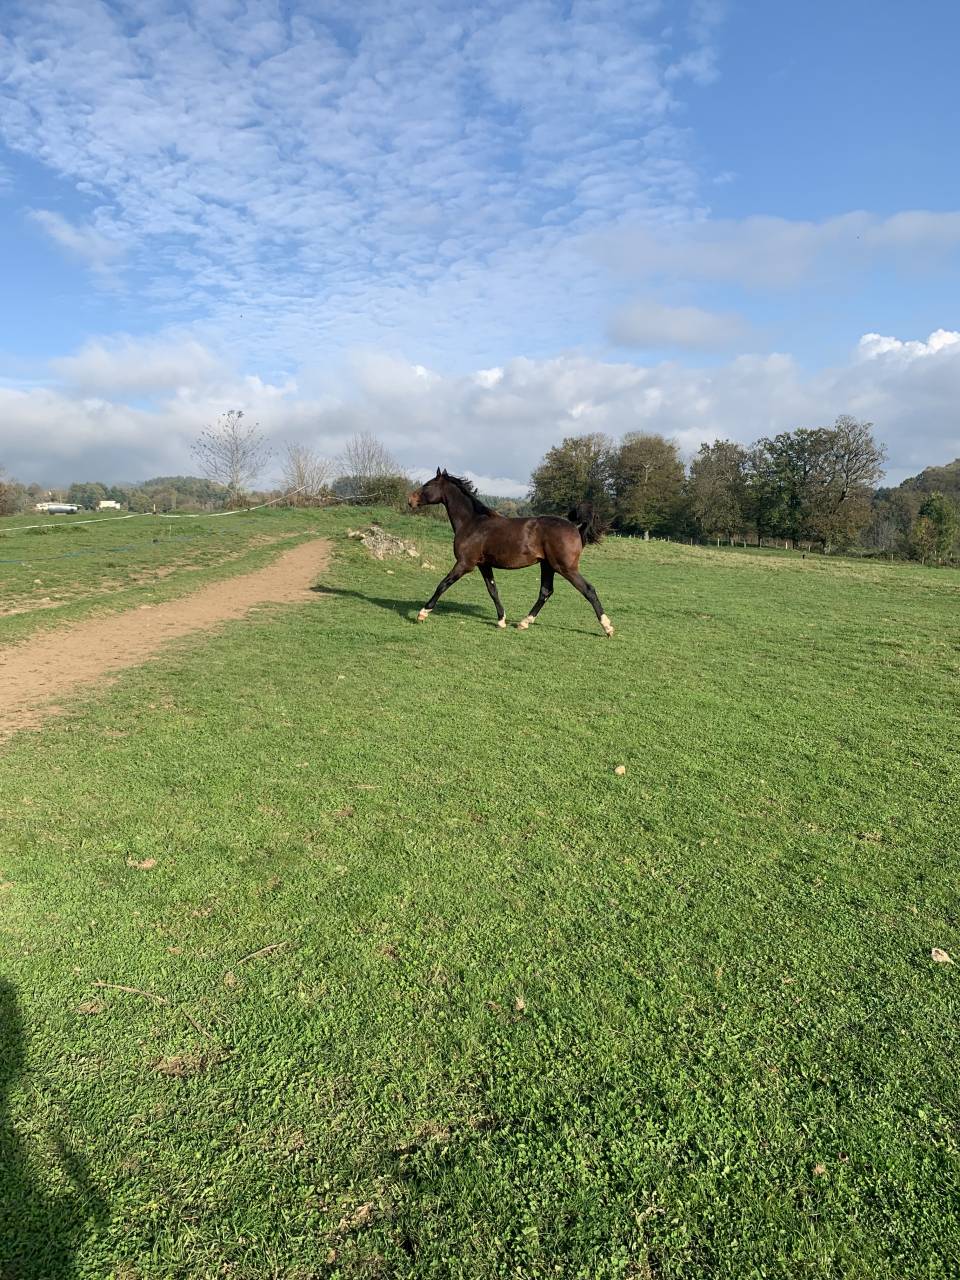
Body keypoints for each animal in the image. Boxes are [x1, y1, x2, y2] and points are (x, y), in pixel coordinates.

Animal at [408, 469, 614, 636]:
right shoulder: (484, 565)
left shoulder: (465, 563)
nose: (410, 501)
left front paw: (422, 613)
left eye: (427, 485)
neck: (473, 523)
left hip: (565, 567)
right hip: (547, 566)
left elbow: (443, 584)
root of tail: (574, 527)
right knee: (545, 592)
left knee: (588, 590)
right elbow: (493, 590)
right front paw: (501, 620)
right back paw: (524, 622)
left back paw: (608, 627)